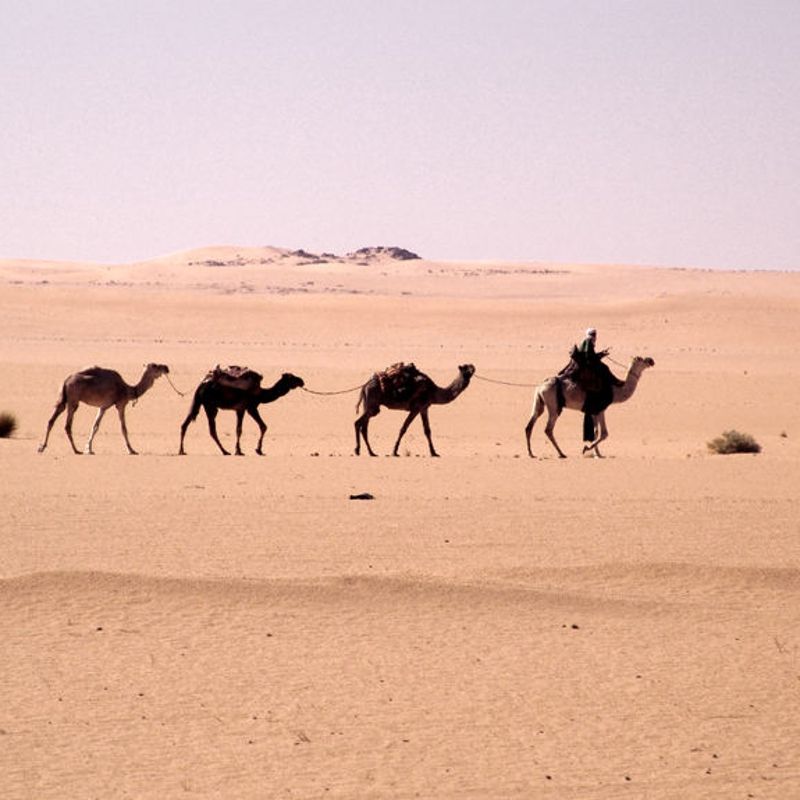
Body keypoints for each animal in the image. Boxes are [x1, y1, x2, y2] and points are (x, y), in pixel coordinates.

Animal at [38, 363, 170, 455]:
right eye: (155, 365)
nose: (166, 367)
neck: (128, 389)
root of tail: (66, 380)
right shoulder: (121, 404)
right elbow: (123, 428)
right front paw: (131, 450)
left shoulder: (103, 407)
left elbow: (95, 426)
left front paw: (89, 448)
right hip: (73, 400)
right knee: (67, 425)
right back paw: (76, 450)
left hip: (63, 399)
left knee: (51, 420)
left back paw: (42, 447)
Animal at [524, 356, 655, 458]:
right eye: (640, 359)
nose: (651, 360)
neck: (615, 390)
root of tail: (540, 387)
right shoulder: (600, 409)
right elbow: (604, 433)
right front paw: (587, 449)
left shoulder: (593, 411)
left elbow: (596, 432)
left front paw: (597, 454)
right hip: (553, 406)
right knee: (548, 429)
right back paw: (561, 453)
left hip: (539, 402)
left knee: (530, 424)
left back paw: (531, 453)